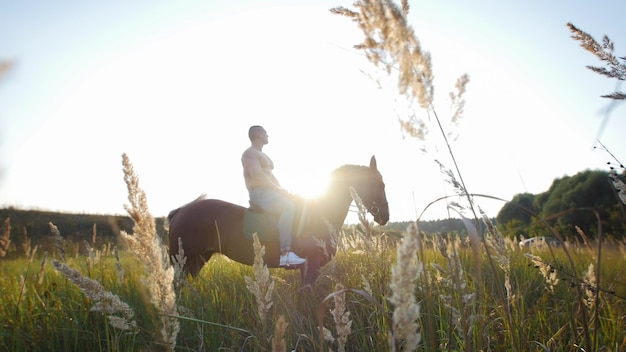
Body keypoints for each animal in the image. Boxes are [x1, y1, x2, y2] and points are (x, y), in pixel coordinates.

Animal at [168, 155, 388, 284]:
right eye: (379, 184)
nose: (385, 216)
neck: (318, 213)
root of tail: (181, 211)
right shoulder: (311, 265)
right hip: (182, 260)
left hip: (197, 259)